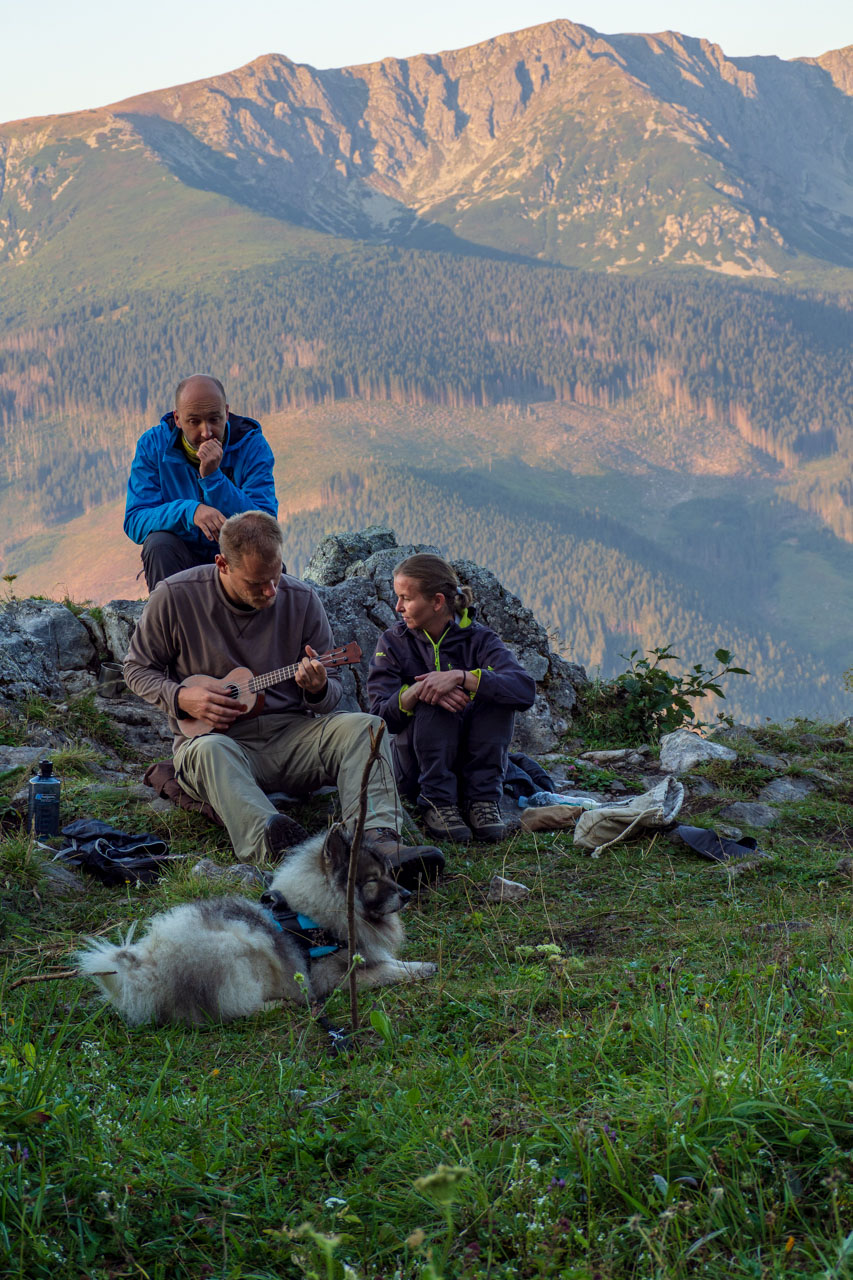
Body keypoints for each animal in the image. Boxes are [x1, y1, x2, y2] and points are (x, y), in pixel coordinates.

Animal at [76, 824, 435, 1024]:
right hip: (234, 952)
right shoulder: (329, 977)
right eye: (372, 881)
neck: (314, 913)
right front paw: (420, 970)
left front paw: (420, 965)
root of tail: (148, 968)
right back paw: (276, 1005)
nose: (407, 894)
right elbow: (383, 972)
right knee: (226, 1012)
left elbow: (390, 963)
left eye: (389, 874)